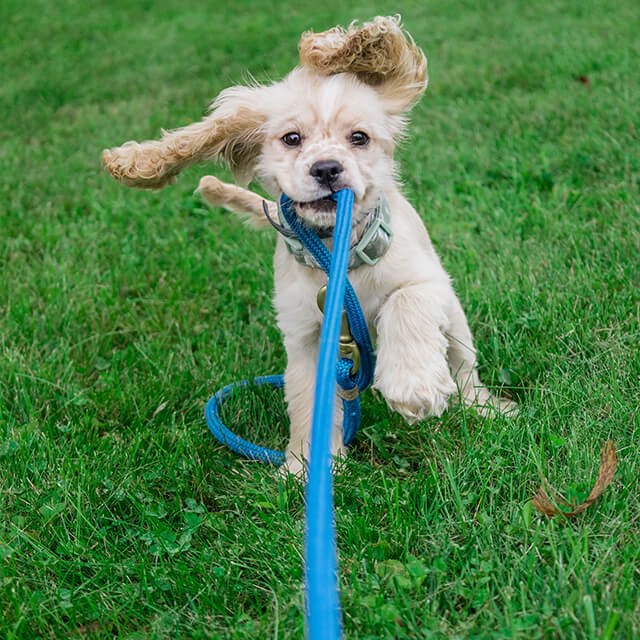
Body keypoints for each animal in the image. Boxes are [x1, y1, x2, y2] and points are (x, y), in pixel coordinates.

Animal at [104, 16, 516, 476]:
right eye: (291, 138)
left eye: (360, 137)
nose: (327, 169)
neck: (337, 253)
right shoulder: (304, 337)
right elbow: (307, 402)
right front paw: (304, 467)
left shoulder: (429, 281)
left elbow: (405, 302)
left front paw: (413, 385)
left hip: (457, 324)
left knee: (464, 370)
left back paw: (484, 407)